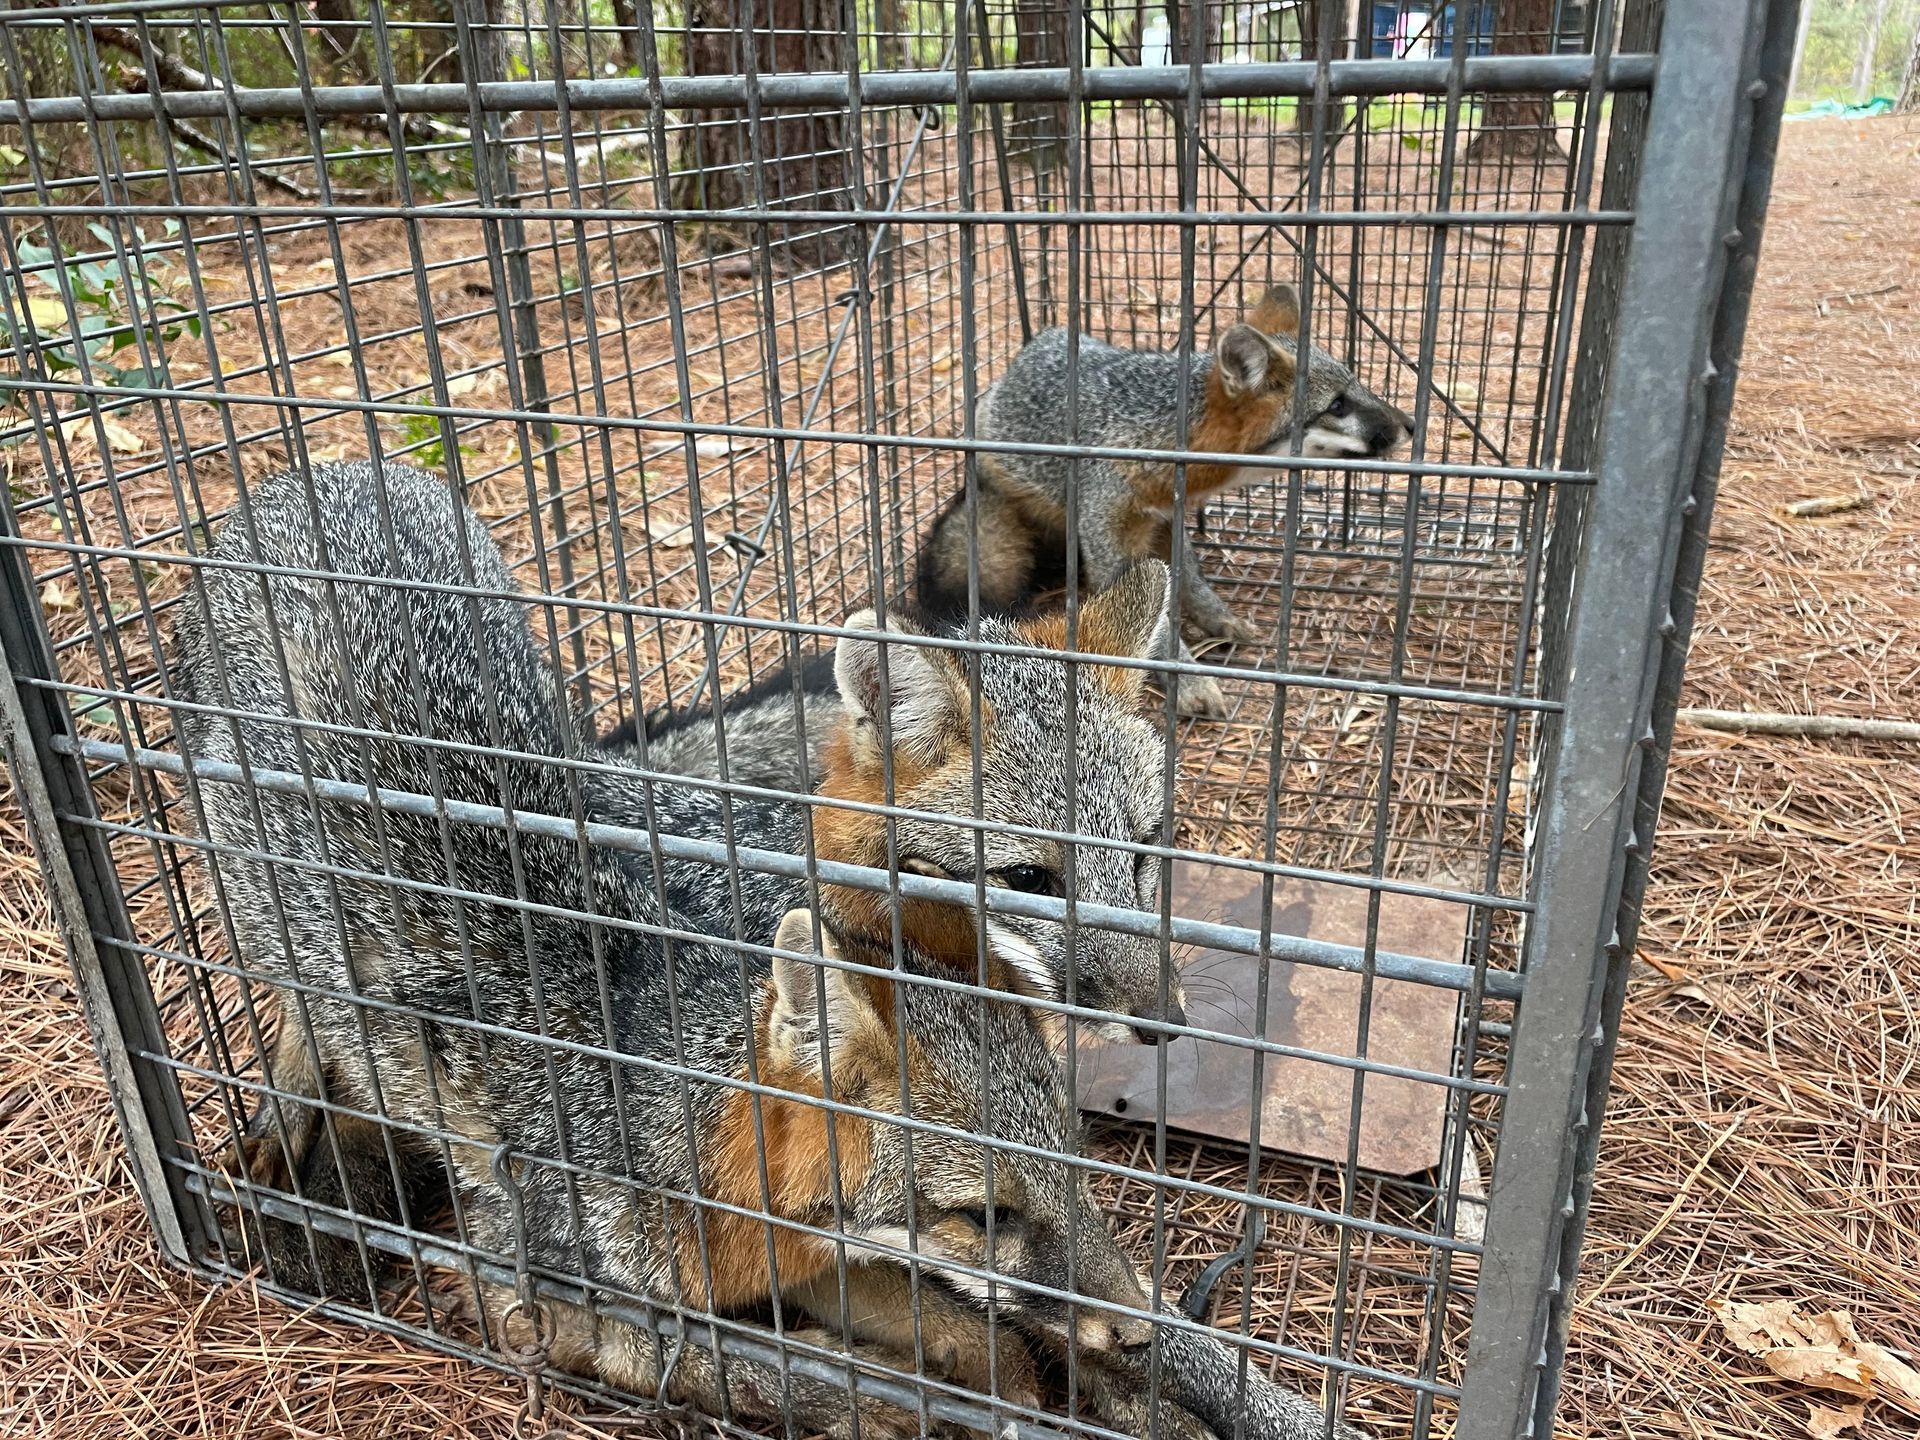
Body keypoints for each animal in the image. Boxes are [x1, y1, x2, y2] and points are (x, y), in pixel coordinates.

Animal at [170, 460, 1348, 1440]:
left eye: (1148, 854)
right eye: (1029, 878)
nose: (1164, 1023)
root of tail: (316, 471)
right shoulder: (545, 1294)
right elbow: (814, 1362)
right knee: (296, 1016)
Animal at [916, 284, 1412, 716]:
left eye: (1358, 385)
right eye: (1337, 405)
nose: (1409, 424)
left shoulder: (1166, 520)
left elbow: (1189, 581)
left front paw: (1218, 620)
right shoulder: (1110, 542)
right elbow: (1155, 628)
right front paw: (1189, 680)